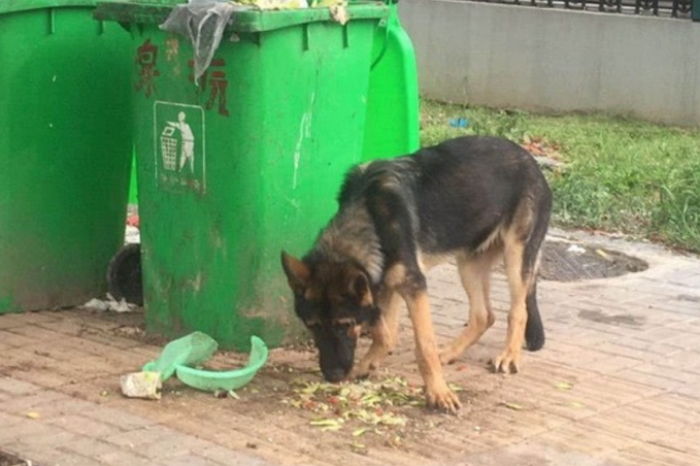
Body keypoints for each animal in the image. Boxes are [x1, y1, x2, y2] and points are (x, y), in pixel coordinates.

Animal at [282, 136, 548, 412]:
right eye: (312, 326)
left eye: (344, 324)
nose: (332, 375)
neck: (369, 216)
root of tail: (530, 159)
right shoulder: (386, 283)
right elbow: (385, 333)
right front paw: (367, 364)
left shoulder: (413, 286)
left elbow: (424, 345)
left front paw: (439, 393)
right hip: (468, 265)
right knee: (483, 315)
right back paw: (450, 353)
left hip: (516, 256)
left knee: (518, 311)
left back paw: (509, 356)